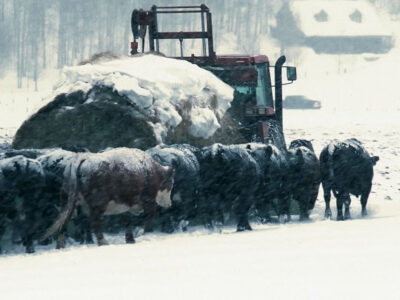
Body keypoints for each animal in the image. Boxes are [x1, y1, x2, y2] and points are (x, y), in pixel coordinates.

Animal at [44, 148, 174, 248]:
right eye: (170, 184)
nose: (169, 204)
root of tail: (83, 158)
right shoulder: (149, 199)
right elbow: (150, 215)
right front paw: (139, 232)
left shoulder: (124, 204)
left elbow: (127, 221)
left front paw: (130, 240)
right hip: (98, 204)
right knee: (94, 222)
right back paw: (103, 242)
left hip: (67, 201)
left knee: (64, 222)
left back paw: (60, 245)